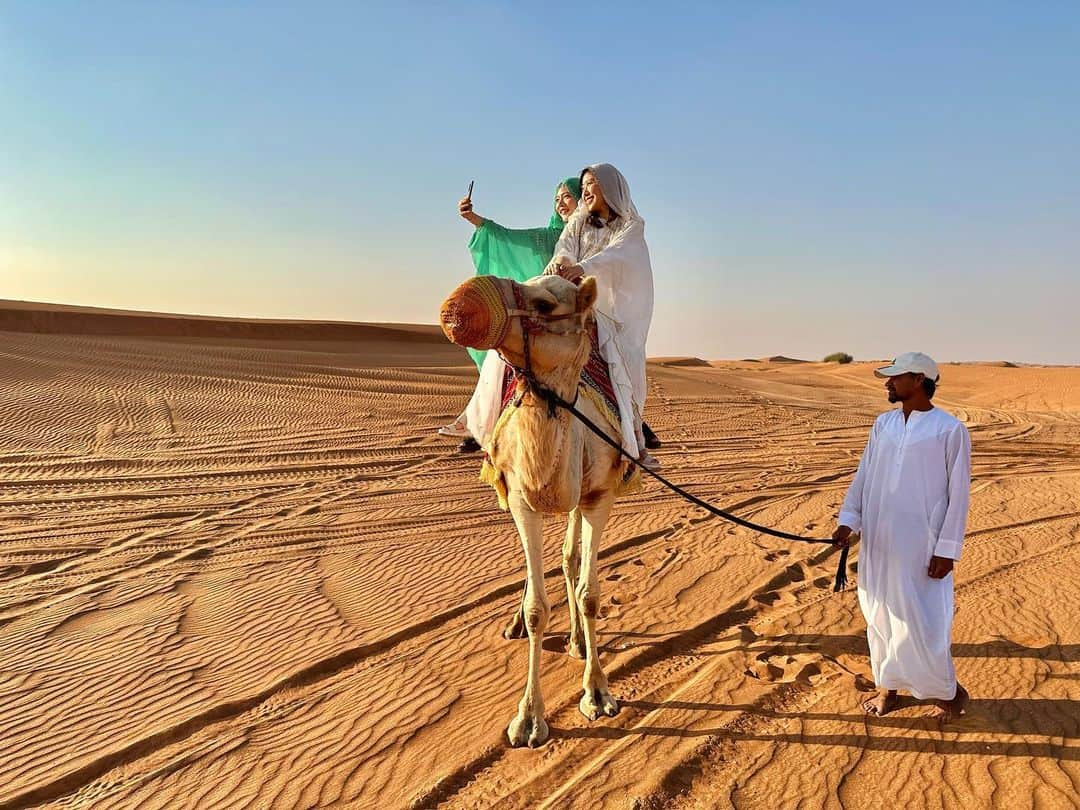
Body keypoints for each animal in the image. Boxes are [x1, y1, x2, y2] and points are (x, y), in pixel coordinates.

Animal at [440, 274, 635, 747]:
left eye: (545, 304)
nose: (457, 308)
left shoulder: (598, 496)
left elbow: (590, 594)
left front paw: (597, 692)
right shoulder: (521, 499)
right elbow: (536, 609)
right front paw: (528, 718)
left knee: (570, 558)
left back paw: (579, 641)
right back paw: (521, 624)